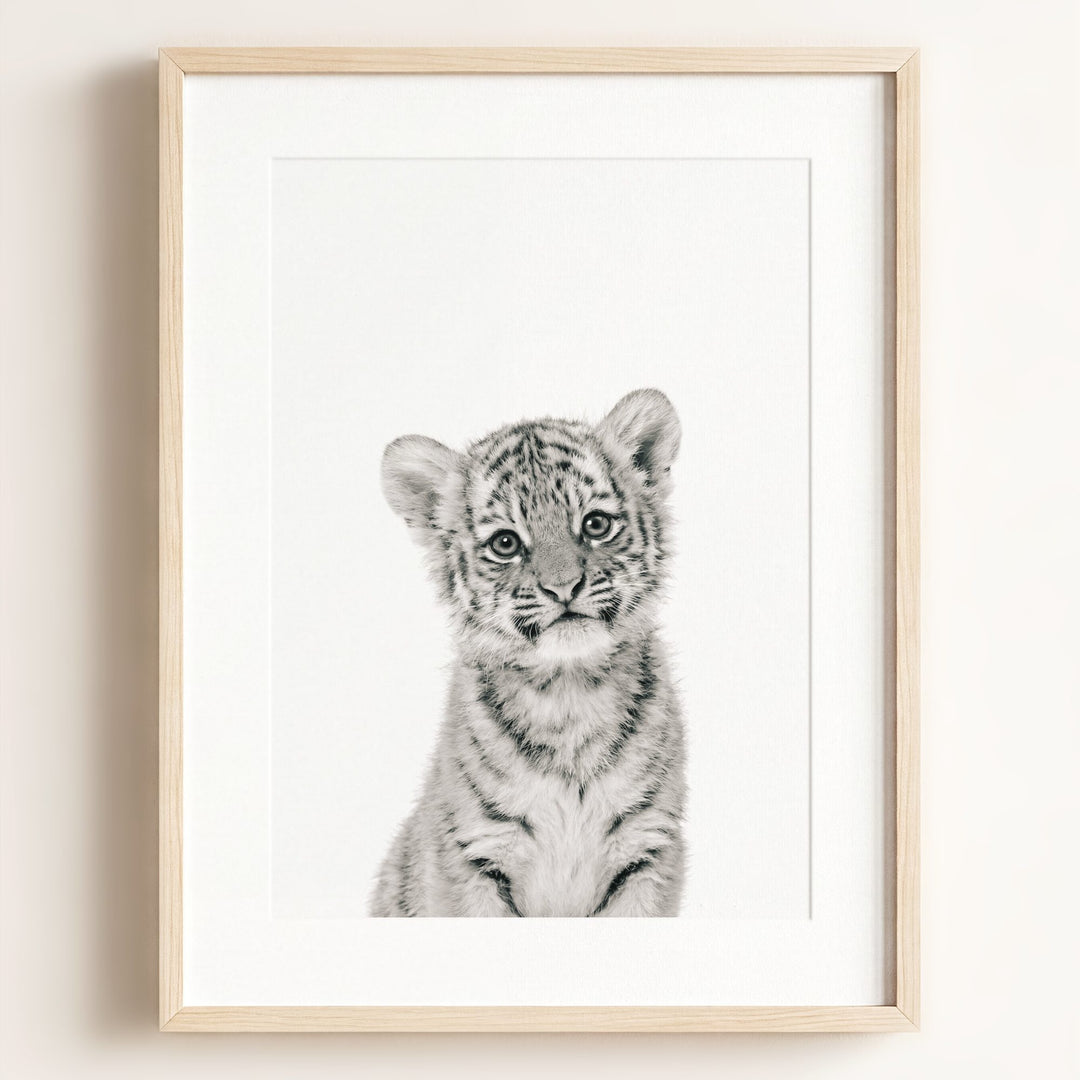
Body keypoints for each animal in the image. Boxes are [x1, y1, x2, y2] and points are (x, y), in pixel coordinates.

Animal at [369, 388, 686, 917]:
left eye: (595, 524)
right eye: (506, 543)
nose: (564, 587)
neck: (569, 694)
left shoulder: (648, 849)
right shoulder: (473, 855)